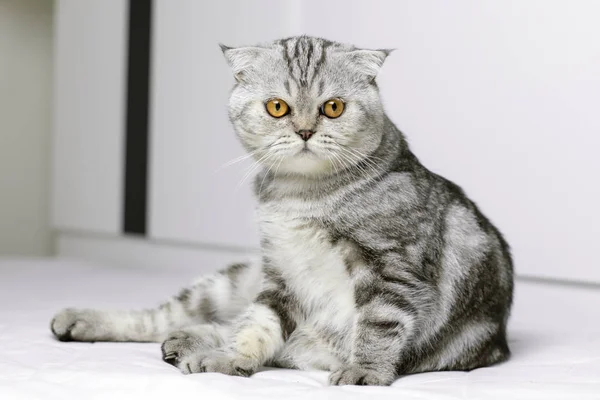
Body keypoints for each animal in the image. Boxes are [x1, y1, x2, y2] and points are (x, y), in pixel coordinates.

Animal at [50, 36, 516, 386]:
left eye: (333, 107)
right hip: (231, 281)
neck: (301, 197)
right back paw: (86, 321)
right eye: (278, 107)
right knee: (164, 319)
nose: (305, 130)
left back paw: (187, 344)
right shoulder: (280, 274)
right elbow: (258, 325)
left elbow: (378, 326)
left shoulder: (393, 268)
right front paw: (231, 359)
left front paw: (364, 371)